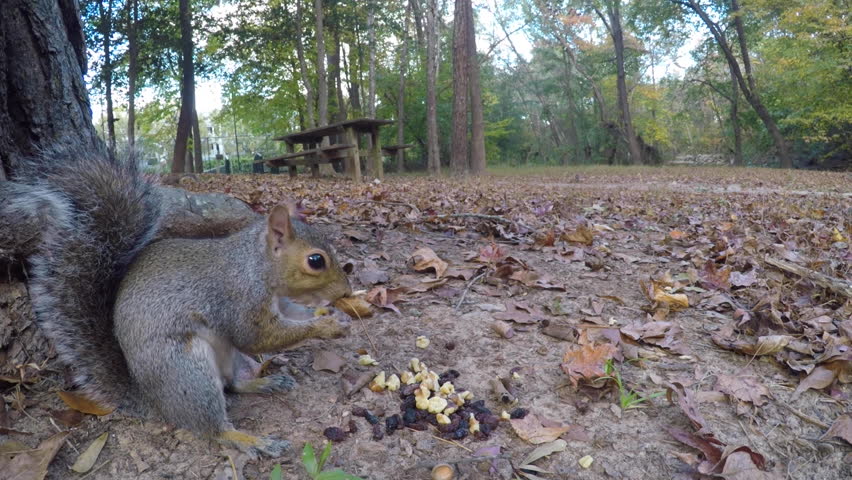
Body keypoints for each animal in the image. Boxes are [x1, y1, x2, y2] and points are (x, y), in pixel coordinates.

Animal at [6, 143, 353, 457]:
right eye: (316, 261)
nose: (346, 292)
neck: (256, 266)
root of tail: (154, 402)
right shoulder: (239, 299)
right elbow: (257, 337)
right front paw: (326, 326)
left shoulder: (281, 302)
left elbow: (296, 312)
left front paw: (332, 315)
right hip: (187, 370)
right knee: (213, 426)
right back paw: (254, 441)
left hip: (225, 357)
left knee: (232, 385)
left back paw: (264, 384)